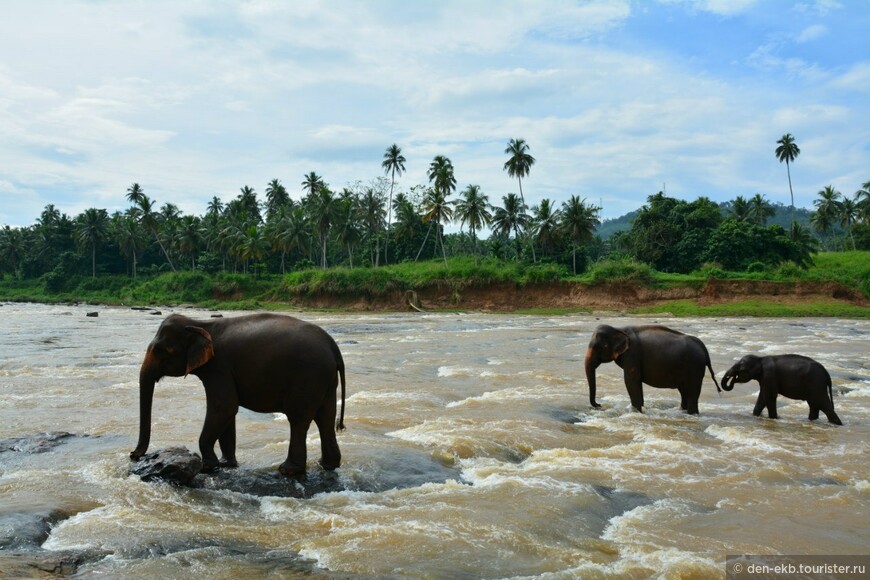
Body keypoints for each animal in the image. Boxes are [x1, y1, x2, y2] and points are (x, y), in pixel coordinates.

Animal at [130, 312, 348, 476]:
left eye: (162, 351)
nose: (133, 455)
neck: (199, 323)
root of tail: (333, 347)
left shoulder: (219, 367)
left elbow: (224, 406)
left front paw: (208, 466)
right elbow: (228, 412)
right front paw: (227, 464)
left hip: (308, 376)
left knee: (299, 419)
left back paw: (288, 470)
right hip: (326, 380)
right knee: (325, 418)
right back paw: (327, 465)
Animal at [584, 324, 724, 414]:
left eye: (597, 347)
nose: (599, 405)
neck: (618, 329)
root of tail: (703, 348)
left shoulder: (632, 354)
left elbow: (631, 380)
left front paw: (636, 412)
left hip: (695, 366)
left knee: (692, 393)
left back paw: (692, 414)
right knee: (684, 391)